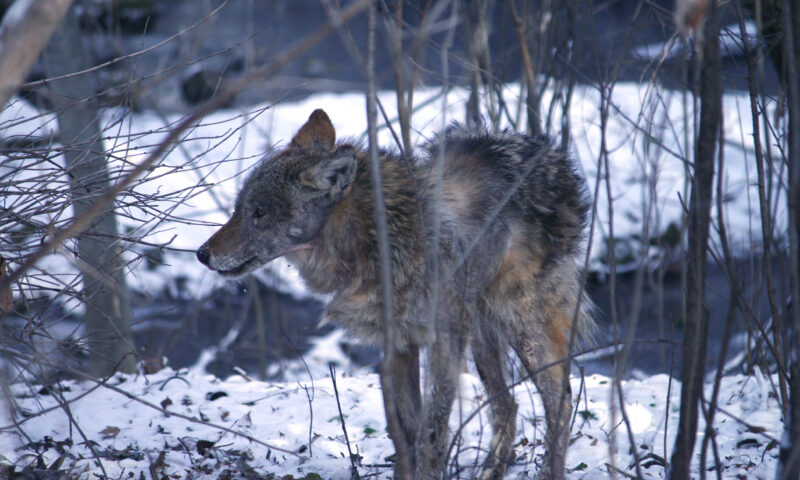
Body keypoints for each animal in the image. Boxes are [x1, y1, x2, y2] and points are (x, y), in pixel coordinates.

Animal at [196, 109, 593, 479]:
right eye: (238, 210)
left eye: (259, 212)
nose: (202, 254)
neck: (377, 240)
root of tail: (552, 155)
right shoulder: (399, 345)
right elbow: (405, 431)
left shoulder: (444, 340)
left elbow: (433, 429)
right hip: (483, 336)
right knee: (507, 406)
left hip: (520, 326)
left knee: (560, 402)